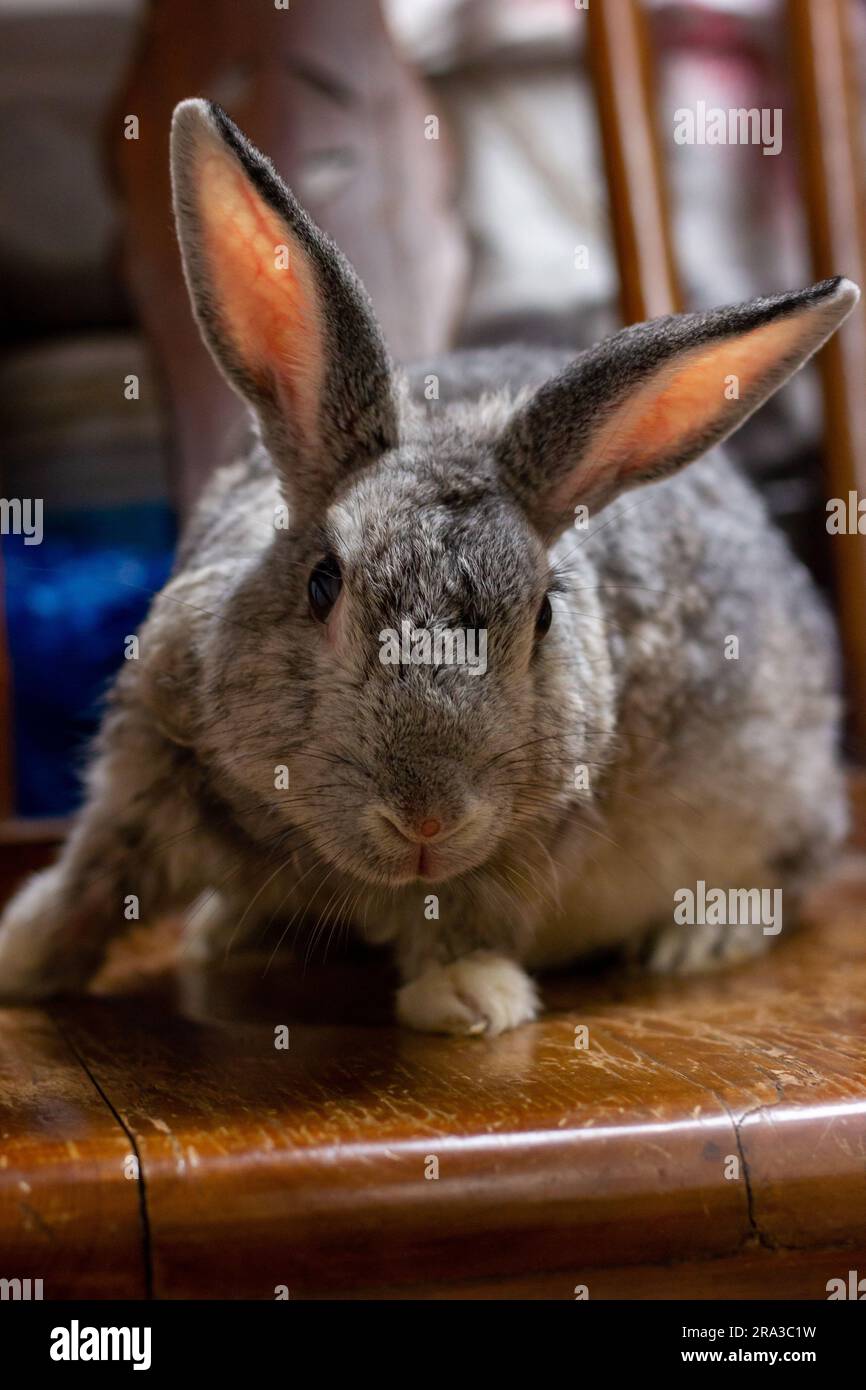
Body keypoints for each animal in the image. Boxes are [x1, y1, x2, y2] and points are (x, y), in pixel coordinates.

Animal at [0, 98, 858, 1036]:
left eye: (544, 617)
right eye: (324, 583)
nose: (428, 816)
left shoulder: (518, 845)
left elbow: (460, 916)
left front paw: (470, 998)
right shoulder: (141, 768)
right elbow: (93, 873)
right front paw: (23, 961)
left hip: (780, 800)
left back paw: (697, 940)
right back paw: (225, 932)